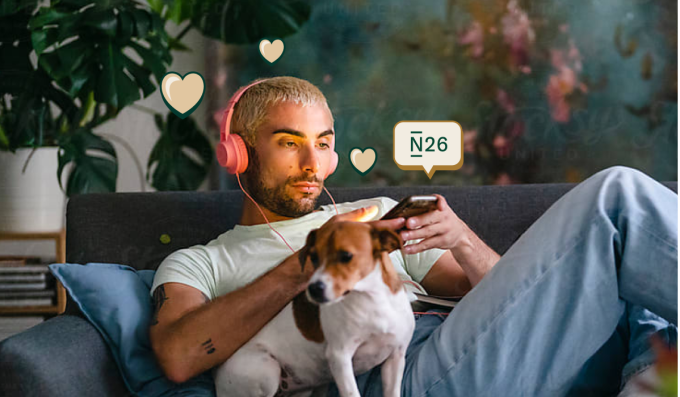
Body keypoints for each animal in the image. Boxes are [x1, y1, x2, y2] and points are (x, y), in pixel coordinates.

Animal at [212, 221, 414, 396]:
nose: (313, 289)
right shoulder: (340, 357)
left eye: (346, 256)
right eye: (314, 257)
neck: (373, 301)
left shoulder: (396, 358)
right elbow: (351, 392)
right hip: (267, 370)